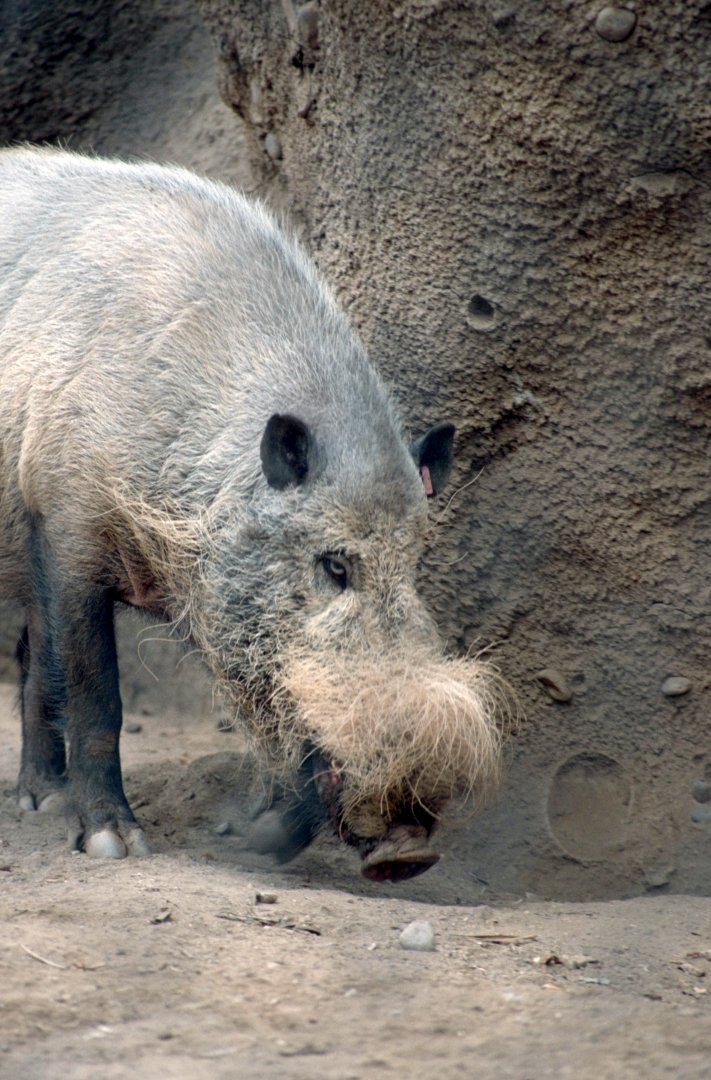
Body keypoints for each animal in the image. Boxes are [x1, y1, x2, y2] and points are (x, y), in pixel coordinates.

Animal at [0, 147, 508, 881]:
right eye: (334, 565)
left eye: (413, 564)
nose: (411, 850)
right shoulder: (67, 520)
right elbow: (98, 694)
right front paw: (115, 844)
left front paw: (244, 838)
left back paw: (38, 802)